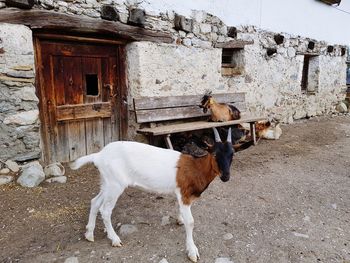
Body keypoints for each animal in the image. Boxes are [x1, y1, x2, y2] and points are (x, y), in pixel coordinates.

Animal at [69, 128, 234, 262]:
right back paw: (115, 239)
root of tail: (99, 156)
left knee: (95, 202)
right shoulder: (185, 194)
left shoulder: (180, 194)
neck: (195, 167)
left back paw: (89, 234)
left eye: (232, 154)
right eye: (214, 154)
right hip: (115, 185)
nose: (226, 176)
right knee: (105, 210)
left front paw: (179, 220)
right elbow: (191, 222)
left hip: (107, 183)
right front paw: (192, 252)